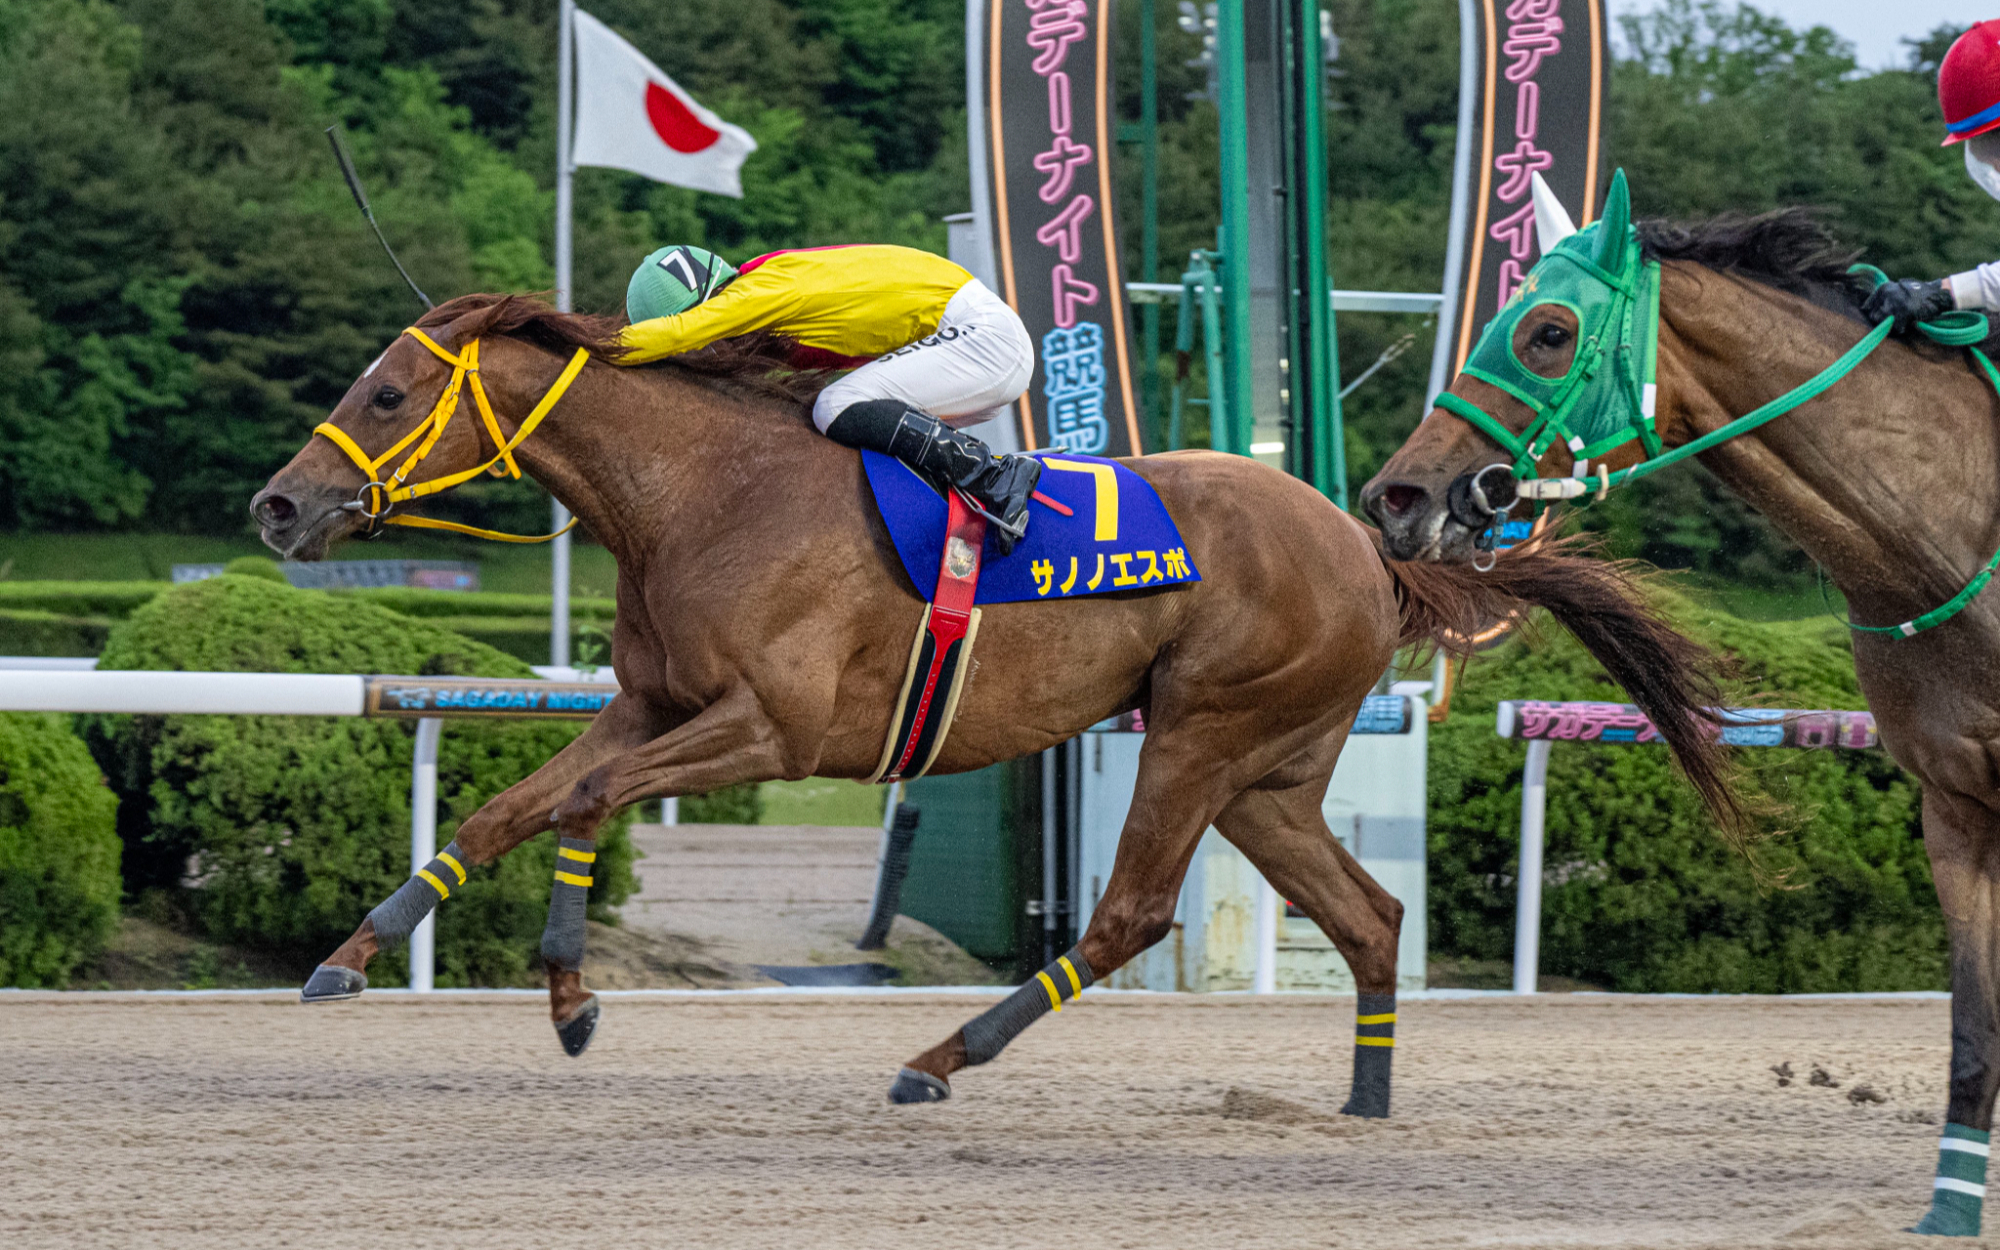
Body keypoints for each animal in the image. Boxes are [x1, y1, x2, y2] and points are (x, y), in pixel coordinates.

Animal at [251, 291, 1730, 1112]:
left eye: (386, 391)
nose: (276, 506)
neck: (706, 496)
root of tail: (1371, 547)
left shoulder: (773, 730)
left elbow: (591, 801)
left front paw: (568, 996)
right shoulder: (648, 705)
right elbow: (507, 810)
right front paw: (350, 955)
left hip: (1199, 731)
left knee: (1133, 910)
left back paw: (938, 1055)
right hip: (1268, 773)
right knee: (1368, 914)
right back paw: (1362, 1100)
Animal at [1361, 173, 2000, 1233]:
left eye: (1547, 332)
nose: (1397, 498)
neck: (1956, 536)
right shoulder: (1955, 807)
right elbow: (1974, 1026)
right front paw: (1948, 1209)